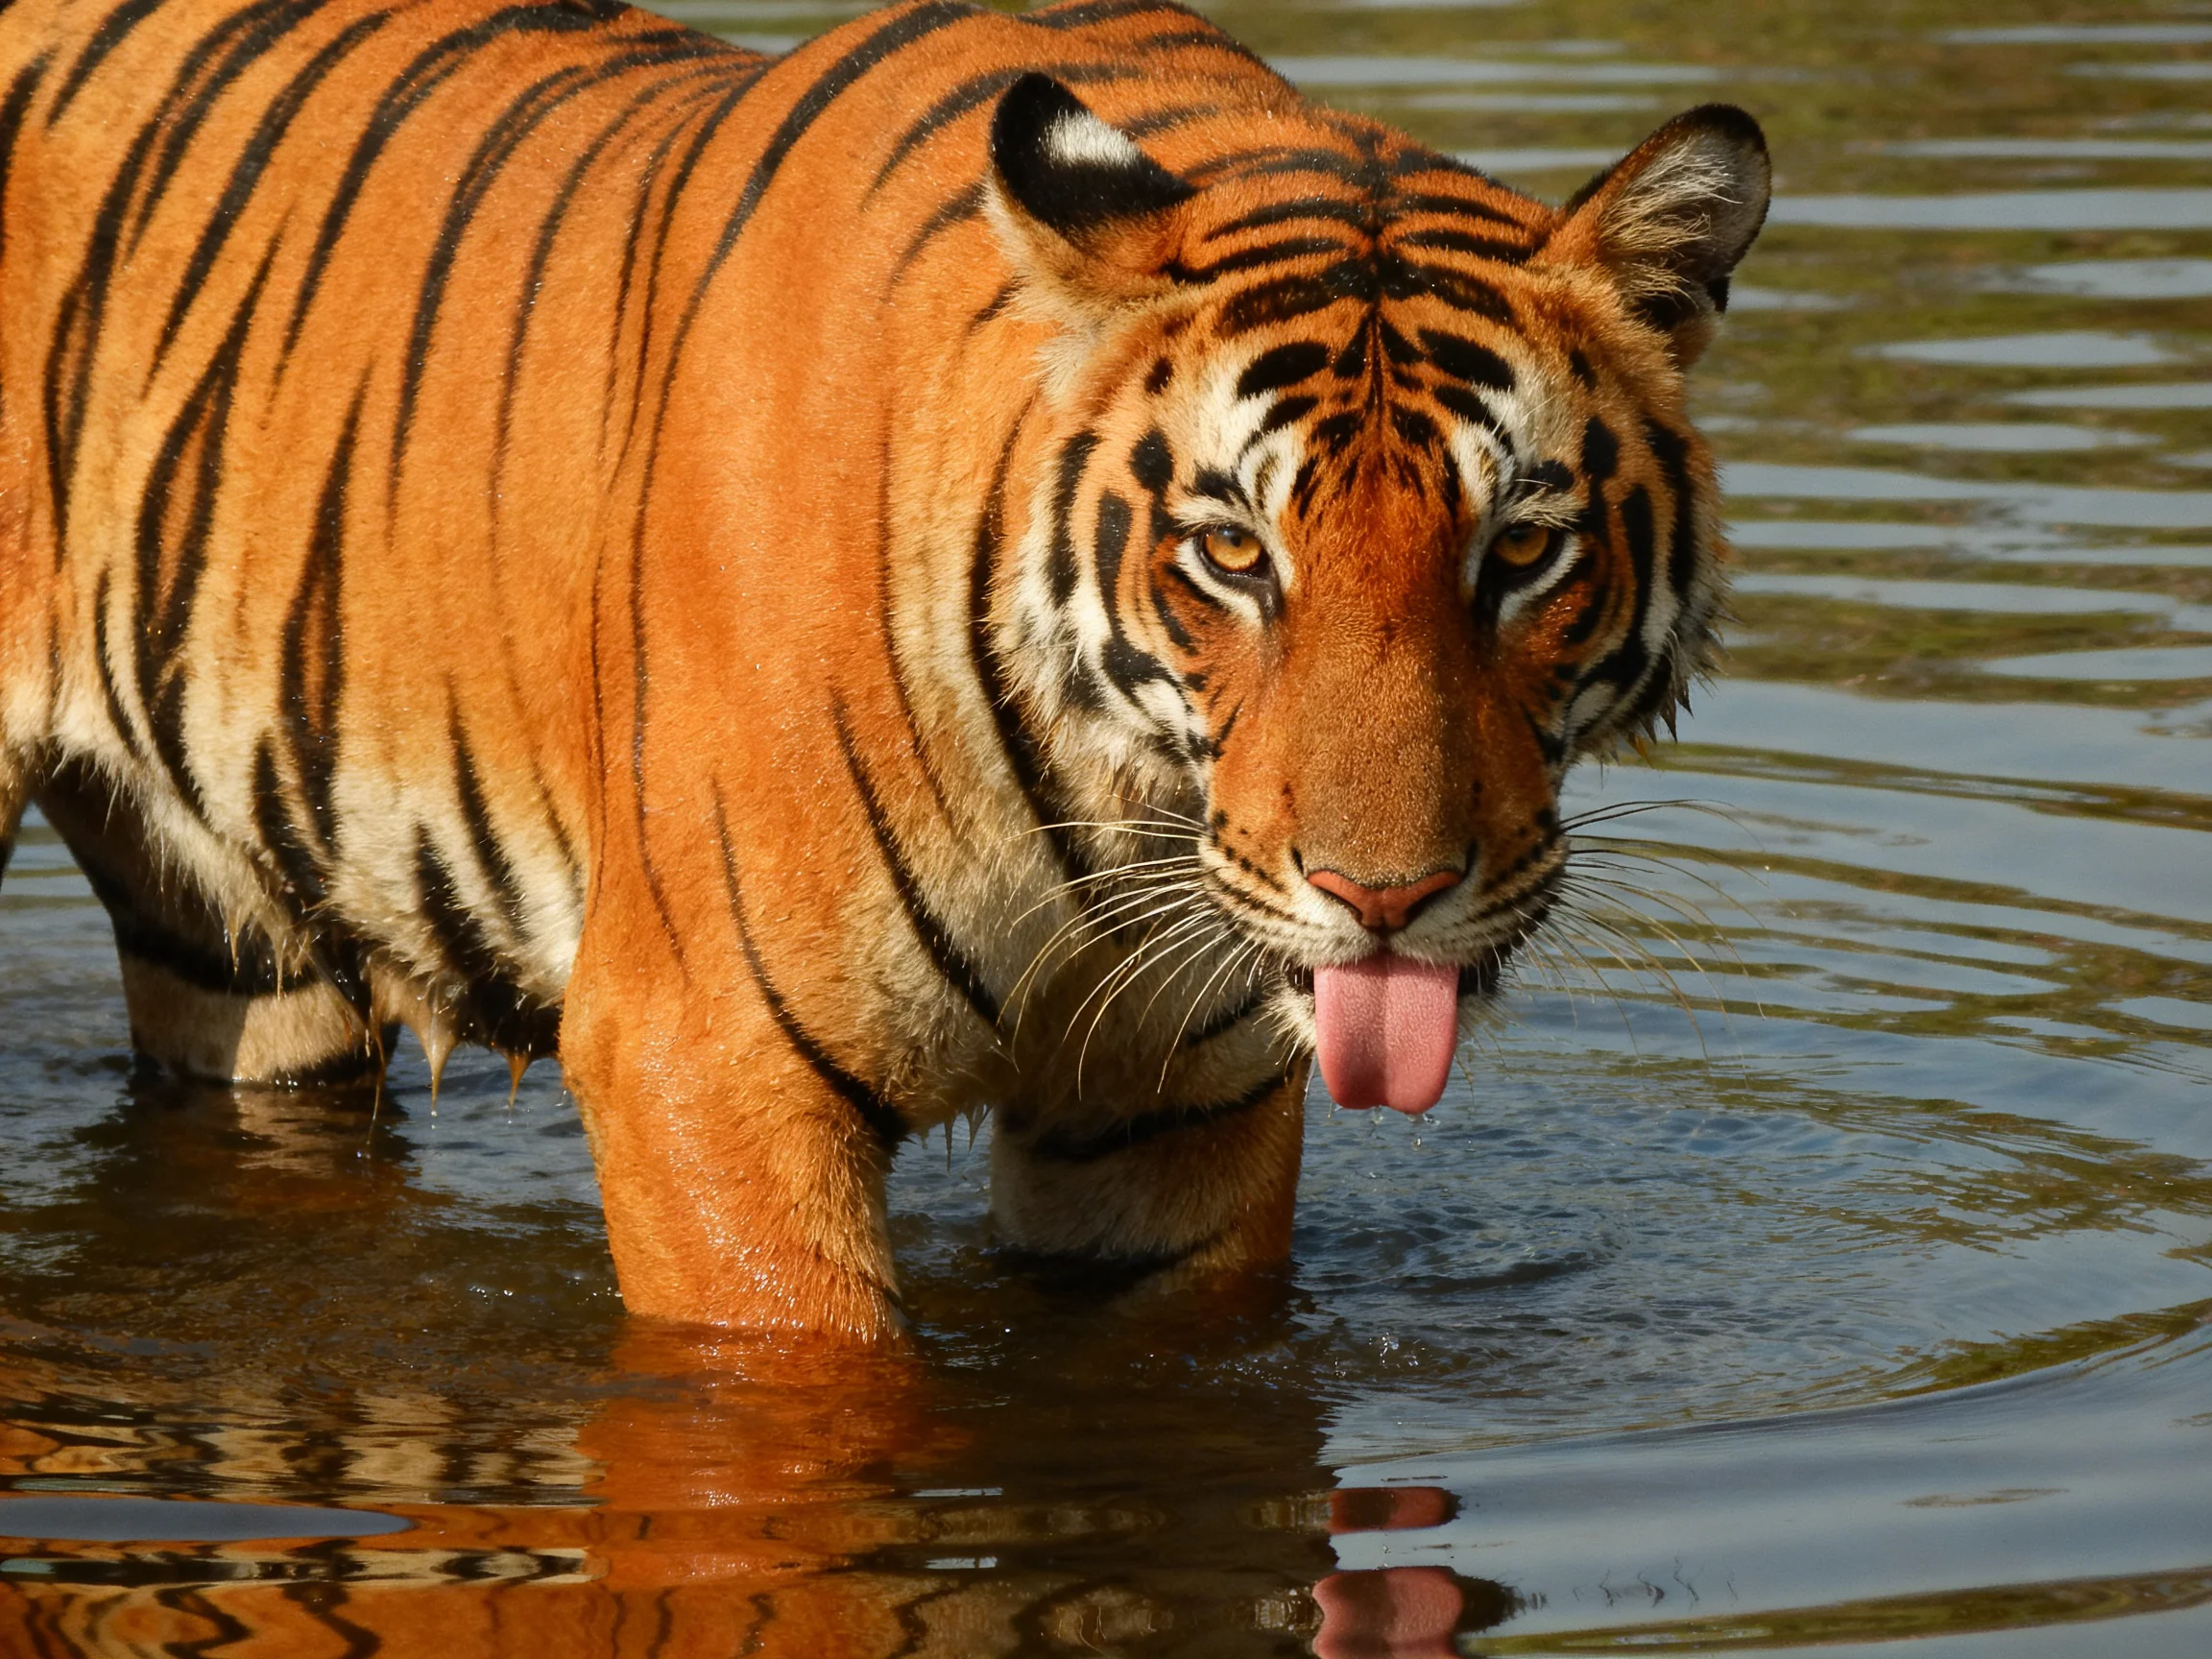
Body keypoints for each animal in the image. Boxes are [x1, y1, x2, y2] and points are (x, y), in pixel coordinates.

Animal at [0, 0, 1769, 1338]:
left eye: (1520, 553)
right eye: (1232, 554)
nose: (1382, 900)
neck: (1111, 807)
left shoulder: (1167, 1116)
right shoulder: (705, 1061)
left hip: (237, 945)